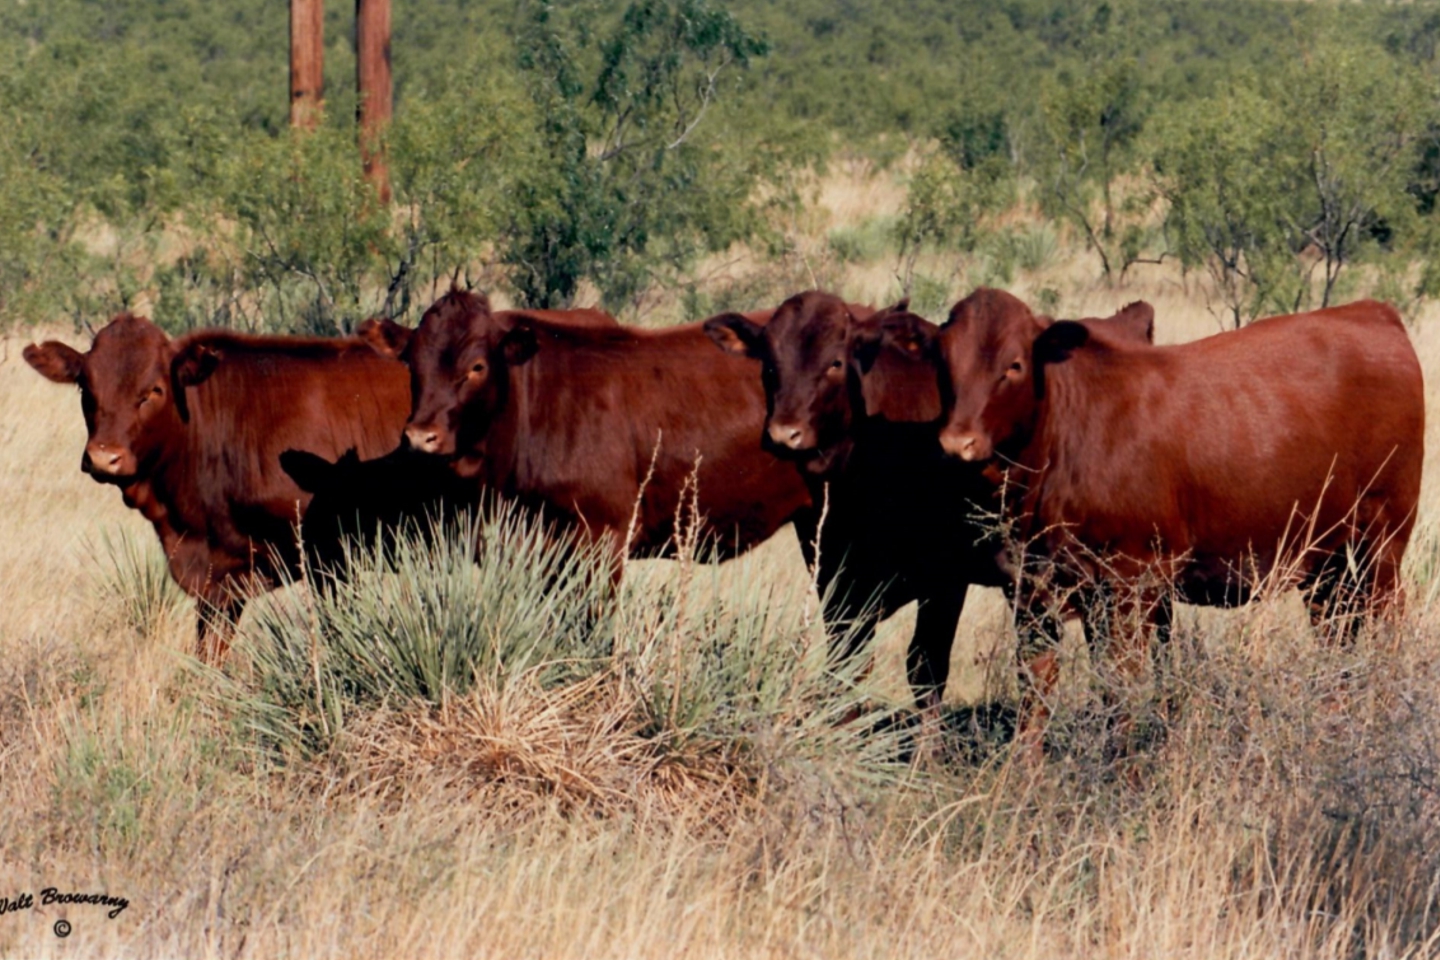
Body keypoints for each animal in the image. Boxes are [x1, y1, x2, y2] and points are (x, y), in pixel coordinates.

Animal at [25, 315, 414, 662]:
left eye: (154, 390)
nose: (104, 458)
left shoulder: (331, 557)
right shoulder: (220, 579)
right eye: (85, 388)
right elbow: (209, 654)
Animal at [705, 289, 1157, 711]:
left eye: (835, 362)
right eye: (767, 363)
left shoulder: (945, 578)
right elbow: (847, 665)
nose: (784, 434)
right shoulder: (835, 575)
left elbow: (925, 666)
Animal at [898, 289, 1428, 742]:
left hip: (1384, 539)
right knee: (1336, 628)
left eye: (1014, 365)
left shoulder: (1132, 585)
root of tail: (1369, 312)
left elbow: (1124, 687)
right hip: (1325, 556)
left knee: (1385, 625)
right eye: (943, 363)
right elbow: (1037, 688)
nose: (956, 444)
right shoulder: (1031, 587)